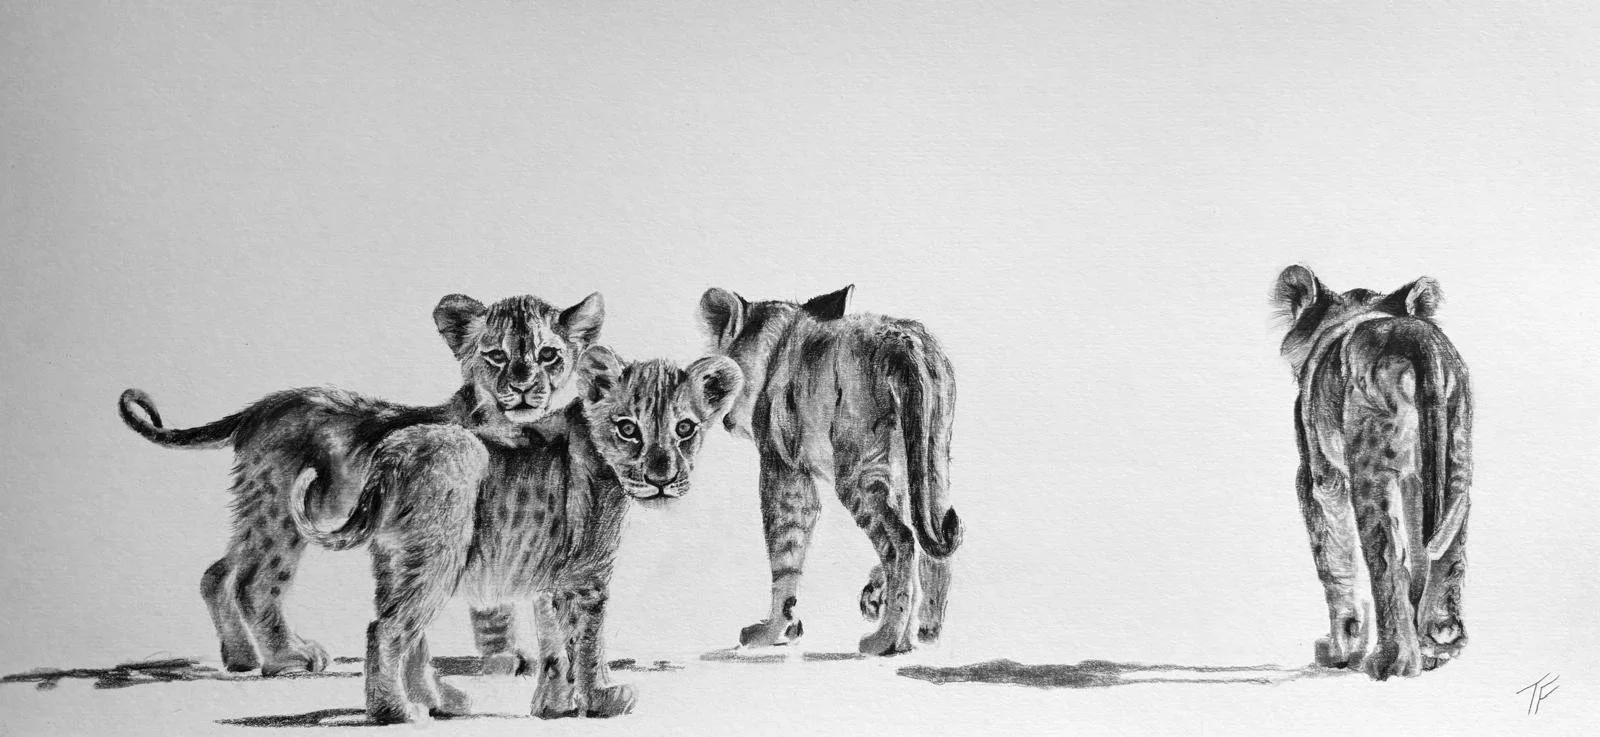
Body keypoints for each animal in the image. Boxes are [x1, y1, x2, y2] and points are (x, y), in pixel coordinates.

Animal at [117, 292, 603, 677]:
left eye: (549, 355)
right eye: (497, 356)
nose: (522, 387)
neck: (514, 428)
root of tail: (260, 408)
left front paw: (507, 658)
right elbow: (490, 596)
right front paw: (503, 659)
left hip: (260, 510)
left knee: (218, 572)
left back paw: (239, 657)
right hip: (282, 512)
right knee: (254, 581)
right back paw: (286, 658)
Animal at [287, 345, 744, 724]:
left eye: (685, 429)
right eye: (628, 429)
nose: (661, 479)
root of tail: (391, 451)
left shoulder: (552, 579)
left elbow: (556, 644)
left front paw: (553, 706)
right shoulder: (587, 575)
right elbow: (589, 641)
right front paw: (602, 699)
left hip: (400, 561)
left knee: (407, 632)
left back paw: (442, 703)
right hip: (437, 556)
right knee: (386, 630)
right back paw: (395, 713)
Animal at [697, 284, 963, 656]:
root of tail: (903, 341)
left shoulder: (783, 468)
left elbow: (785, 551)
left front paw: (771, 631)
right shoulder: (896, 475)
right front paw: (871, 595)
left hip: (857, 474)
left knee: (901, 542)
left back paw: (886, 639)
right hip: (932, 461)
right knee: (932, 539)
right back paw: (927, 632)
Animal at [1272, 265, 1472, 680]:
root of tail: (1413, 334)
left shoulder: (1320, 478)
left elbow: (1335, 562)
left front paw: (1341, 650)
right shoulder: (1417, 480)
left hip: (1371, 468)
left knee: (1386, 558)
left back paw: (1393, 661)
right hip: (1457, 458)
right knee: (1448, 551)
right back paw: (1440, 643)